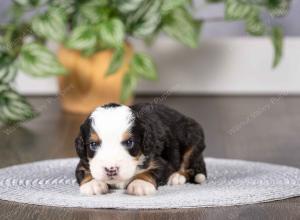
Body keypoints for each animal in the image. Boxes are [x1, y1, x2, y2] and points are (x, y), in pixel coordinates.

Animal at [75, 102, 206, 196]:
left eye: (129, 142)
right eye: (93, 144)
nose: (111, 169)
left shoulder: (160, 161)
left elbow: (150, 172)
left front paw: (140, 184)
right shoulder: (83, 163)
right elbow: (85, 172)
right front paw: (93, 184)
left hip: (193, 138)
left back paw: (177, 176)